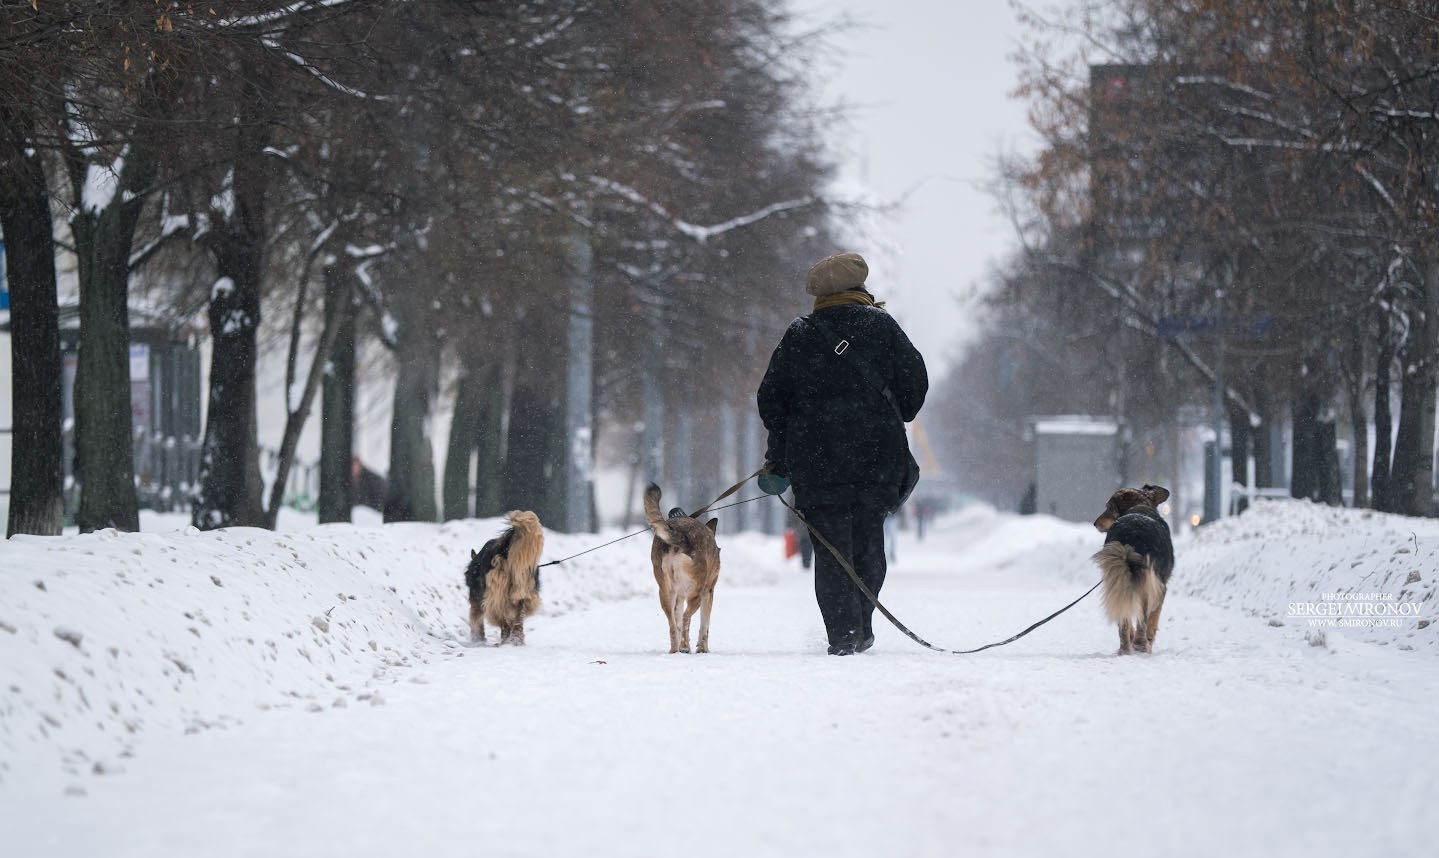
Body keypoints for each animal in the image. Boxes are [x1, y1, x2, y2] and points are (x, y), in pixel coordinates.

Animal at [466, 509, 543, 644]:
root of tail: (504, 550)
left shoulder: (476, 598)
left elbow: (475, 618)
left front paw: (478, 638)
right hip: (522, 588)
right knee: (518, 616)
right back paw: (517, 638)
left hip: (497, 593)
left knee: (502, 619)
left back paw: (505, 639)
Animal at [647, 483, 725, 656]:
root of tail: (681, 534)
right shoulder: (708, 593)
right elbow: (704, 626)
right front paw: (703, 649)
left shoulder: (679, 596)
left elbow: (677, 621)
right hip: (697, 593)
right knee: (685, 618)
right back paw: (683, 646)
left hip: (666, 593)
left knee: (673, 625)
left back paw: (675, 650)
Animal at [1093, 483, 1174, 656]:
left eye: (1108, 507)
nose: (1095, 523)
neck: (1139, 506)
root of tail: (1132, 535)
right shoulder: (1161, 587)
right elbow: (1153, 618)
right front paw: (1148, 640)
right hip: (1148, 583)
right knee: (1143, 618)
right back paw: (1141, 645)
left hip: (1118, 577)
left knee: (1123, 622)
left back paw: (1125, 648)